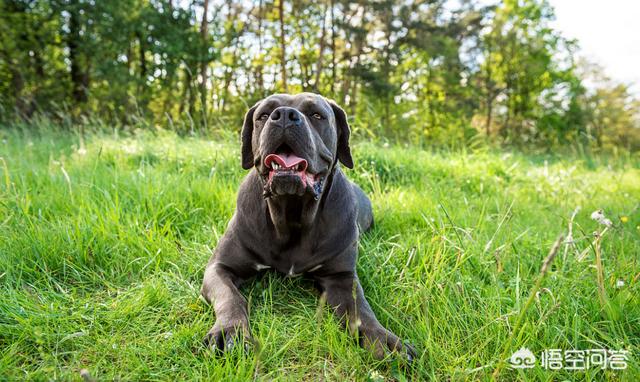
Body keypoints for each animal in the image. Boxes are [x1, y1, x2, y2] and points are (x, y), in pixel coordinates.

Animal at [202, 93, 418, 362]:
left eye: (317, 115)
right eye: (263, 115)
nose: (284, 115)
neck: (291, 215)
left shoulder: (341, 277)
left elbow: (361, 310)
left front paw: (384, 339)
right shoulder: (219, 267)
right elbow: (230, 297)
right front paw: (230, 331)